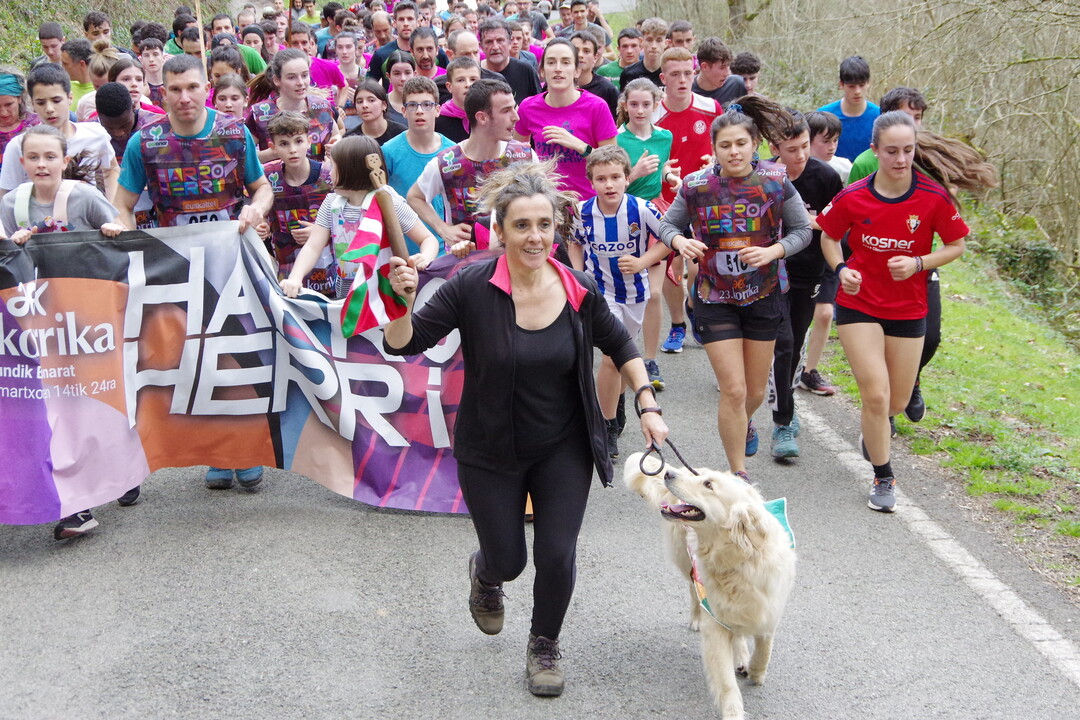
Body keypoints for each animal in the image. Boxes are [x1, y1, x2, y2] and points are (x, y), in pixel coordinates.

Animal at [624, 454, 796, 719]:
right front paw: (733, 712)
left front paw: (756, 672)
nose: (668, 474)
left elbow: (764, 649)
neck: (738, 560)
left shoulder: (768, 609)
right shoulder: (715, 621)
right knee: (692, 591)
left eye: (708, 485)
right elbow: (726, 683)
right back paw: (697, 619)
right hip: (687, 562)